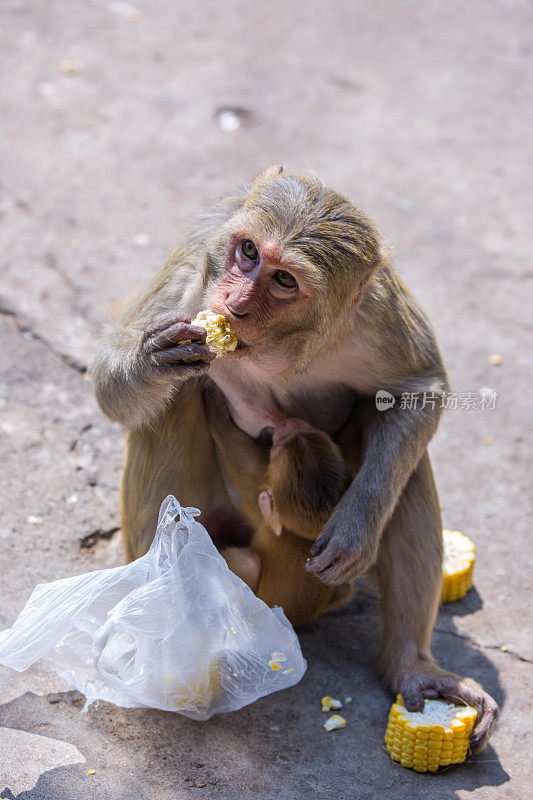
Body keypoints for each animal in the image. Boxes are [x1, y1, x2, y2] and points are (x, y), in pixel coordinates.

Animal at [93, 167, 496, 752]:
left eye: (284, 280)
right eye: (247, 253)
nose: (235, 301)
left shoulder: (376, 312)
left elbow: (418, 389)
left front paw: (354, 527)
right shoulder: (196, 269)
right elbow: (113, 382)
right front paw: (153, 358)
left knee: (402, 459)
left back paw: (412, 667)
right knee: (178, 399)